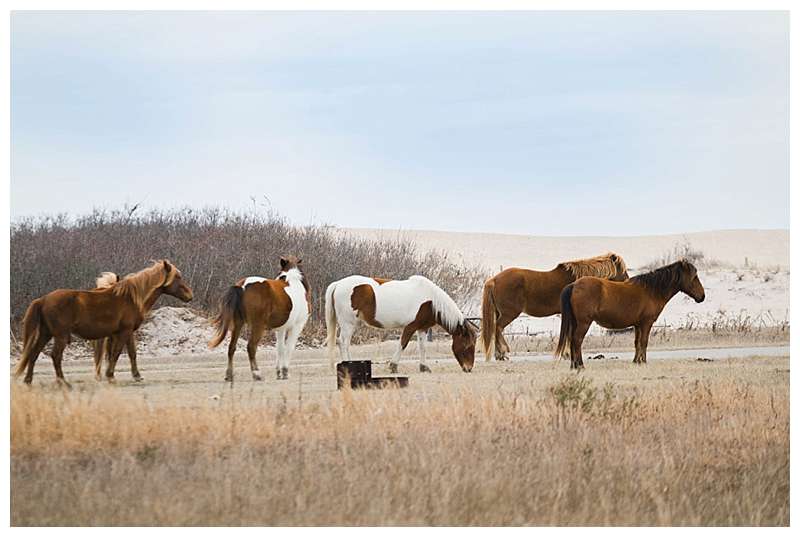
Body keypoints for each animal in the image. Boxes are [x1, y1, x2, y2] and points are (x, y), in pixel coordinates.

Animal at [14, 260, 193, 386]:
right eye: (177, 277)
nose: (190, 296)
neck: (131, 298)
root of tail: (43, 299)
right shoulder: (123, 332)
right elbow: (116, 353)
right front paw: (110, 376)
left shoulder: (127, 332)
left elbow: (131, 353)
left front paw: (136, 376)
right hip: (60, 336)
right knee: (55, 356)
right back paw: (63, 381)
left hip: (46, 333)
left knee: (34, 353)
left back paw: (28, 380)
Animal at [324, 274, 476, 370]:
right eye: (467, 346)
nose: (468, 368)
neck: (431, 302)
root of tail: (338, 284)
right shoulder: (410, 327)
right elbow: (402, 344)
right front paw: (393, 366)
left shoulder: (422, 328)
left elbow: (422, 347)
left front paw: (424, 367)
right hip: (348, 324)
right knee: (343, 343)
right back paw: (348, 365)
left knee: (345, 344)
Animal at [478, 251, 628, 360]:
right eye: (623, 270)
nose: (628, 281)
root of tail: (494, 280)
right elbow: (569, 334)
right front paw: (567, 354)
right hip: (510, 313)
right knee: (498, 327)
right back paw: (503, 352)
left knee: (496, 329)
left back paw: (499, 355)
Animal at [556, 260, 708, 368]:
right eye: (694, 277)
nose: (702, 297)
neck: (652, 291)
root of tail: (574, 285)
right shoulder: (646, 323)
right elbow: (644, 342)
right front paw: (644, 362)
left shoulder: (638, 325)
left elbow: (637, 343)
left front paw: (636, 361)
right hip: (584, 323)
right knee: (577, 341)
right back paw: (580, 365)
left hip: (575, 323)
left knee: (572, 341)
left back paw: (573, 366)